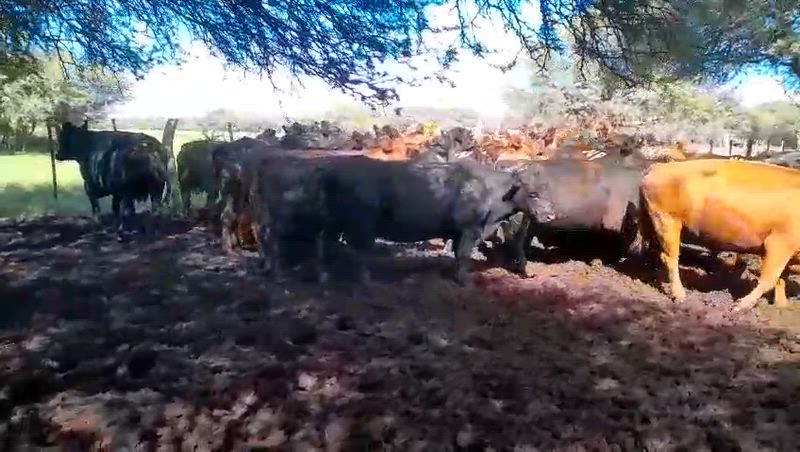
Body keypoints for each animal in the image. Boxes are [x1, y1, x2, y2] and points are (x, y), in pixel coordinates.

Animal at [319, 157, 557, 285]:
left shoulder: (459, 233)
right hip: (361, 226)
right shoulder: (470, 229)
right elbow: (463, 255)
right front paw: (465, 281)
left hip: (335, 223)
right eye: (533, 193)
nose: (551, 215)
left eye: (546, 189)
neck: (489, 189)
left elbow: (457, 255)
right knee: (358, 252)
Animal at [639, 159, 800, 311]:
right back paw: (679, 295)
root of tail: (659, 166)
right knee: (670, 258)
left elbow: (781, 280)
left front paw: (782, 306)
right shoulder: (779, 243)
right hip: (667, 220)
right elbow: (769, 279)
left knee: (655, 251)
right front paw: (739, 306)